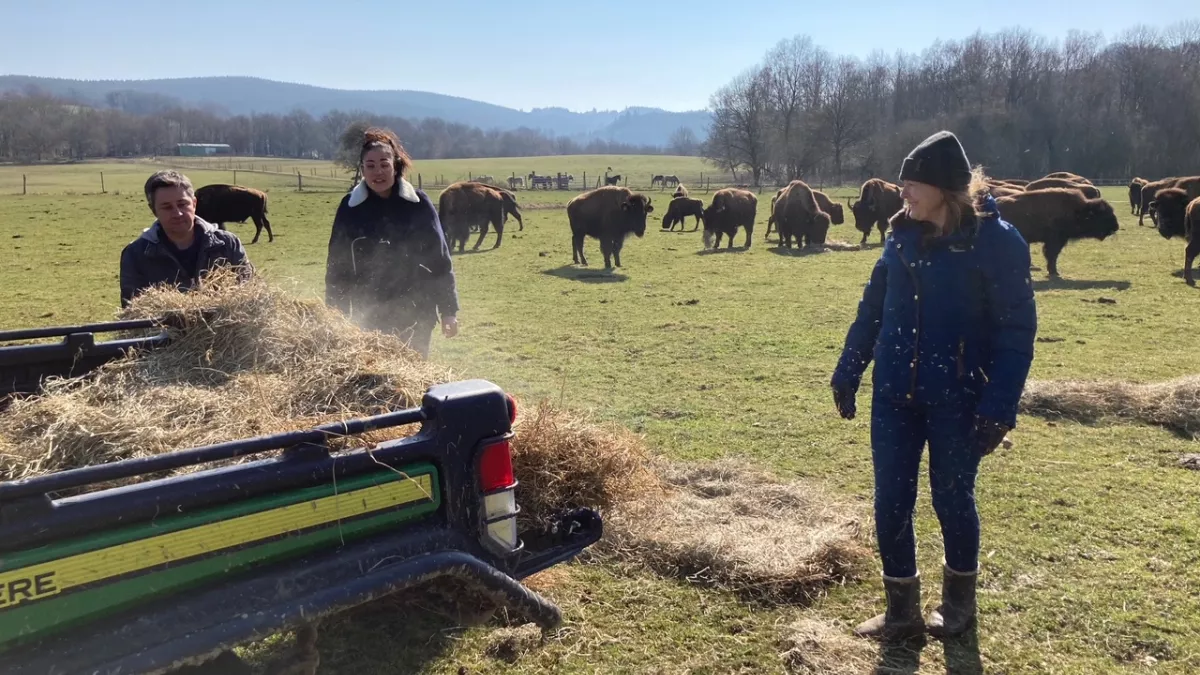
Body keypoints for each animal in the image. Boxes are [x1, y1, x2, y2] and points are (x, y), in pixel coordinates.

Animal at [988, 186, 1118, 276]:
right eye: (1104, 215)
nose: (1116, 227)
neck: (1078, 210)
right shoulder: (1055, 241)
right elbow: (1052, 255)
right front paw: (1054, 272)